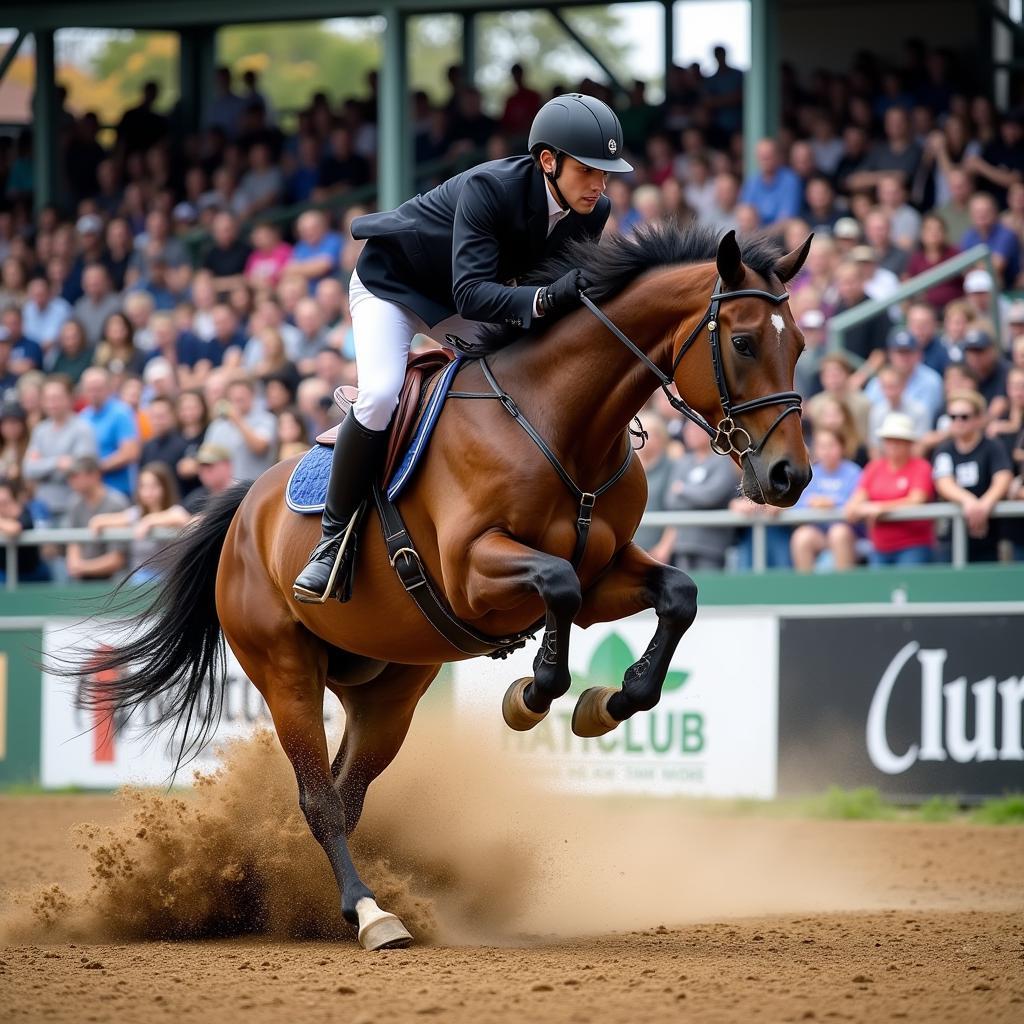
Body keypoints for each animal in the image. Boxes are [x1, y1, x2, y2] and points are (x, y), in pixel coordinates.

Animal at [77, 224, 806, 950]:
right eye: (744, 342)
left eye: (798, 344)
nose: (788, 476)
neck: (560, 422)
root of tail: (243, 512)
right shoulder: (473, 574)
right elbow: (558, 588)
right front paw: (530, 698)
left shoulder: (605, 572)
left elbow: (675, 595)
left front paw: (606, 704)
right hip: (285, 672)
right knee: (320, 800)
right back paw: (370, 913)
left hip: (388, 692)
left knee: (347, 793)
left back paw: (331, 905)